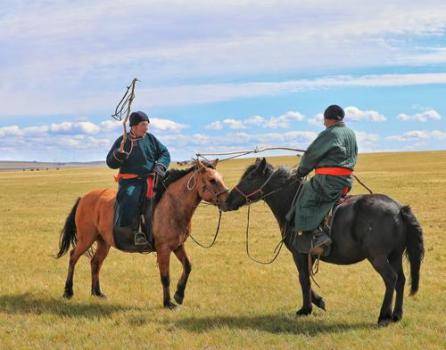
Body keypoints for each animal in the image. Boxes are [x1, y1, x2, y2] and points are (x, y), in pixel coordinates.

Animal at [225, 159, 424, 326]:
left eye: (250, 177)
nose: (227, 200)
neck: (291, 202)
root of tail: (399, 209)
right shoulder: (310, 255)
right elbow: (307, 278)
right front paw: (318, 302)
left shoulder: (299, 254)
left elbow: (303, 278)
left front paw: (306, 309)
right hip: (395, 255)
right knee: (401, 280)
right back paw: (397, 315)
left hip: (378, 257)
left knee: (391, 279)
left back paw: (384, 316)